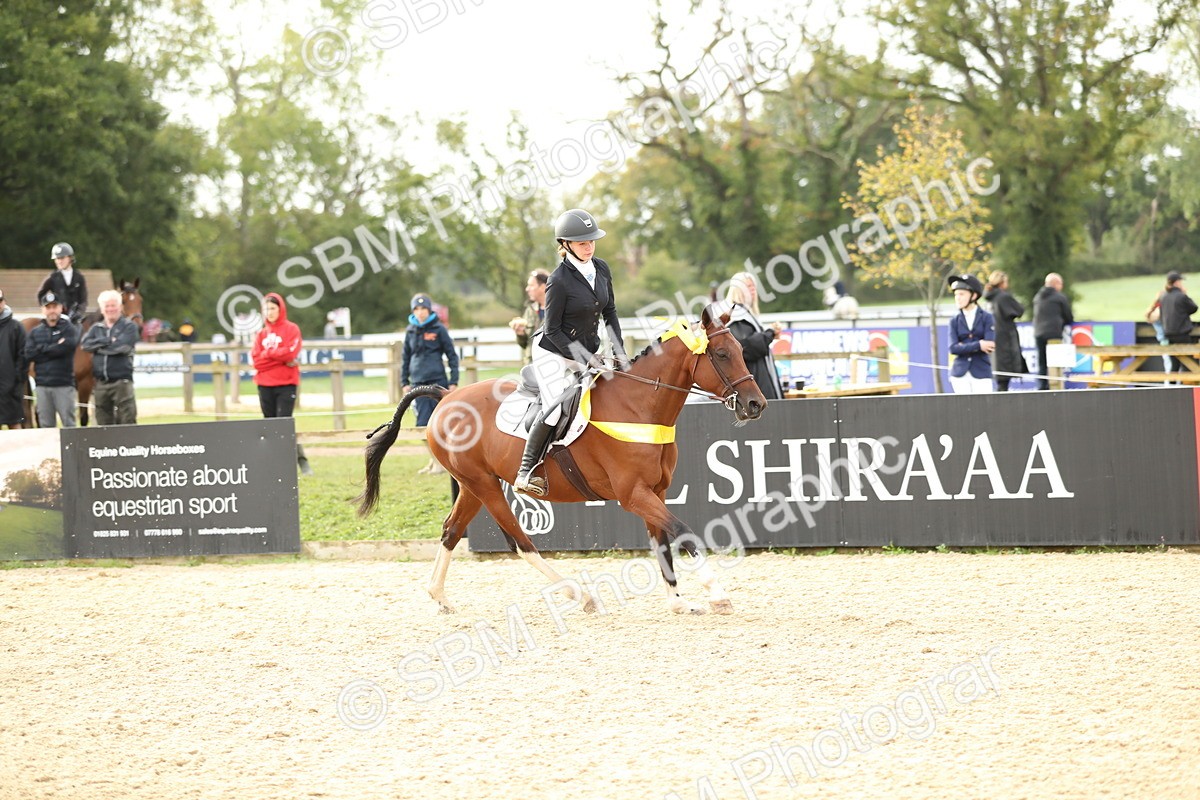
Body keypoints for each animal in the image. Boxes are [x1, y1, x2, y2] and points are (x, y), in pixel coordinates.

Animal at [22, 278, 143, 426]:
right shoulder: (84, 383)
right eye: (123, 301)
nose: (138, 327)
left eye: (140, 300)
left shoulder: (96, 385)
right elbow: (84, 417)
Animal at [356, 304, 768, 616]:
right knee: (521, 543)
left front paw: (678, 602)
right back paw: (580, 595)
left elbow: (663, 542)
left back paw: (439, 597)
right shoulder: (633, 495)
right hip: (485, 486)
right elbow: (684, 532)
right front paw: (717, 595)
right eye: (721, 354)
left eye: (741, 350)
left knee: (450, 531)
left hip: (472, 486)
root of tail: (445, 397)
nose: (756, 405)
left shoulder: (656, 492)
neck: (638, 408)